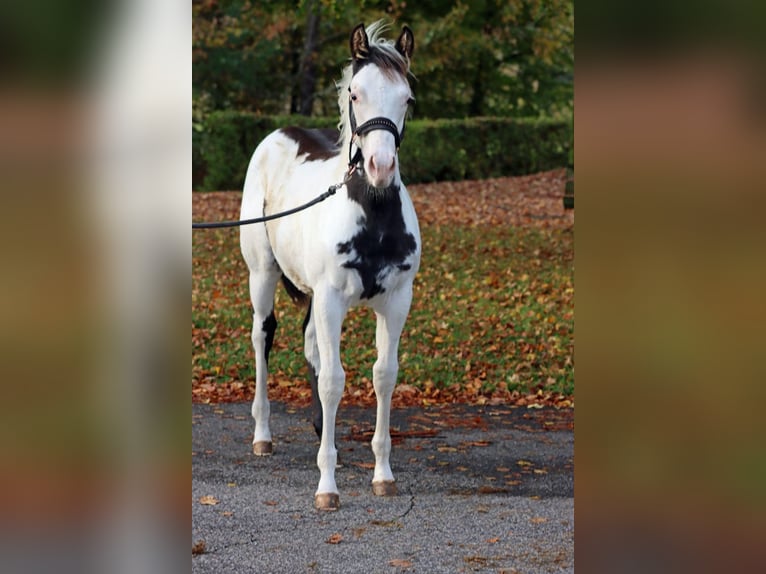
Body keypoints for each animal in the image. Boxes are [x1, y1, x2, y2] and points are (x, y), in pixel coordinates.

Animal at [239, 21, 420, 510]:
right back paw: (262, 434)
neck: (373, 217)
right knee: (263, 336)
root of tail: (279, 134)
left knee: (310, 348)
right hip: (263, 275)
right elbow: (335, 382)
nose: (380, 167)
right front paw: (327, 485)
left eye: (407, 98)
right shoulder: (331, 299)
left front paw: (383, 475)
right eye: (355, 93)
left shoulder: (396, 302)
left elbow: (383, 376)